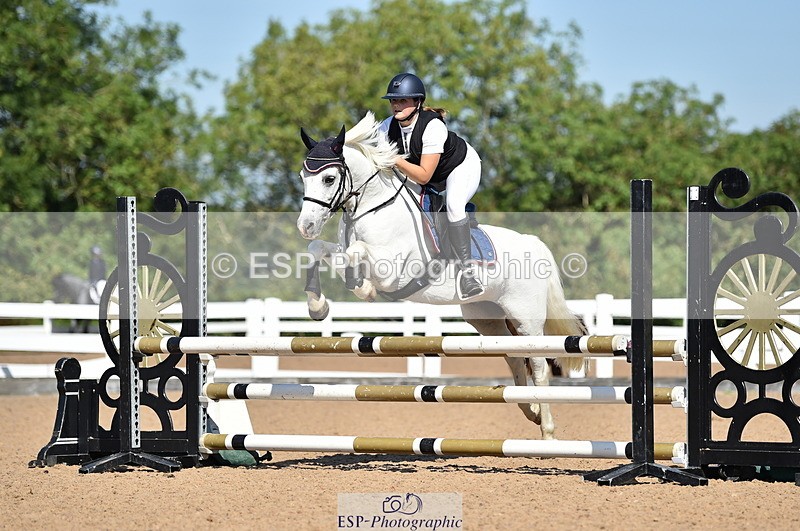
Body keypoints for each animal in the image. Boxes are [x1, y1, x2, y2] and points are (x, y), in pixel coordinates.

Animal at [295, 112, 586, 440]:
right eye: (303, 177)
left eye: (329, 179)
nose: (305, 226)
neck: (372, 208)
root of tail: (533, 243)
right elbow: (319, 249)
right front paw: (318, 305)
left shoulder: (392, 269)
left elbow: (357, 252)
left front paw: (363, 288)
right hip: (486, 317)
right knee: (513, 356)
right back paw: (531, 410)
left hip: (526, 317)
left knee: (538, 365)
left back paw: (547, 430)